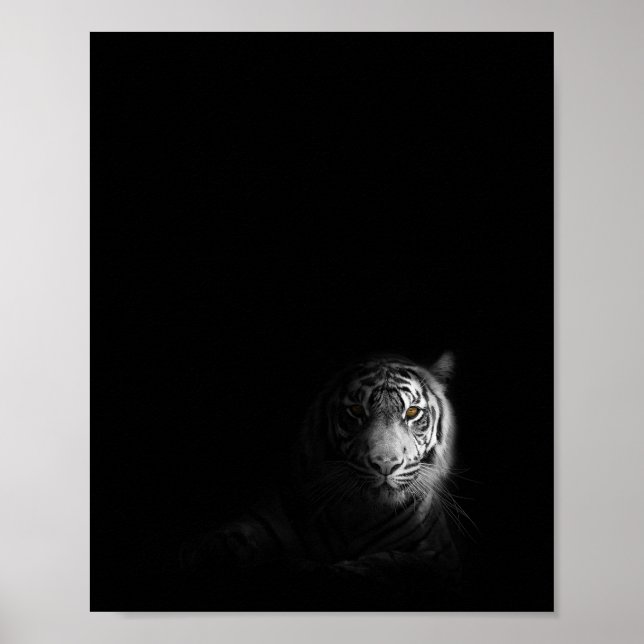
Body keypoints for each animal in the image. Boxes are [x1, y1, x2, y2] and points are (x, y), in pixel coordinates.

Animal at [182, 351, 463, 605]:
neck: (360, 513)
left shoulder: (440, 557)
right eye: (356, 410)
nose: (386, 464)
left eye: (412, 412)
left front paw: (328, 572)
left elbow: (393, 562)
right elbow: (220, 545)